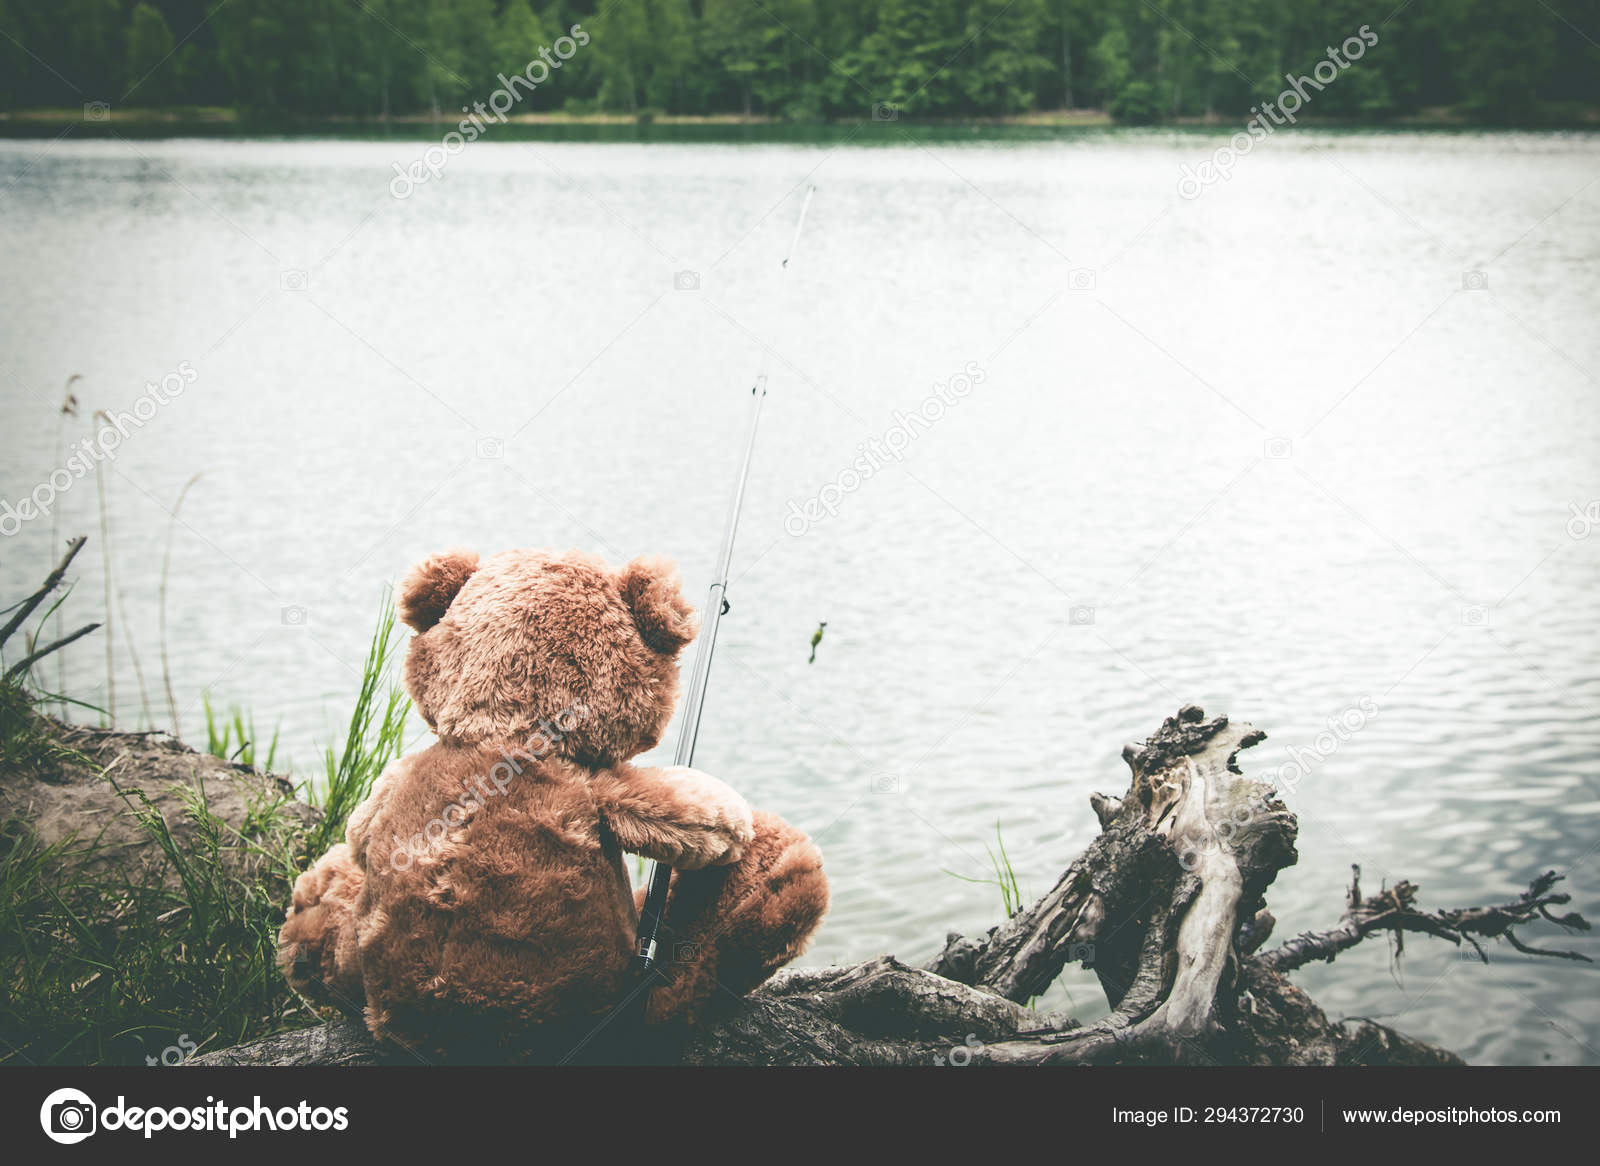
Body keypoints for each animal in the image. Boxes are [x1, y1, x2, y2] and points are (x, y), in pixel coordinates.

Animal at [277, 547, 829, 1060]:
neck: (506, 731)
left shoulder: (401, 775)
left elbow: (359, 828)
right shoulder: (602, 788)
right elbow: (707, 822)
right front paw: (732, 828)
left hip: (355, 947)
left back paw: (307, 920)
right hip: (629, 1014)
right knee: (775, 887)